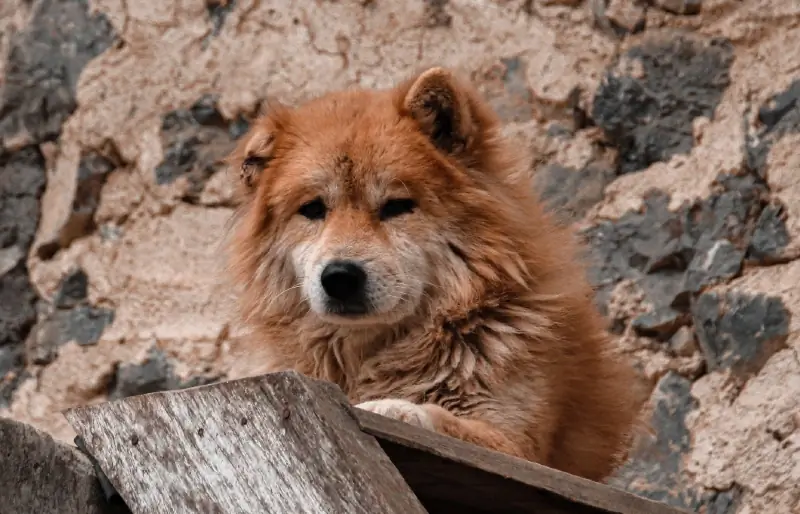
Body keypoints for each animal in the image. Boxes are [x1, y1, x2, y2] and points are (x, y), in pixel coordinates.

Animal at [223, 67, 636, 480]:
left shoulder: (519, 447)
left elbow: (440, 418)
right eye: (312, 209)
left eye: (397, 206)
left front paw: (394, 407)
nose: (340, 276)